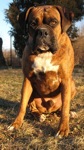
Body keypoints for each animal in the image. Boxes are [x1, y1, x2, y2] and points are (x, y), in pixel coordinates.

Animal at [8, 5, 76, 137]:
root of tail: (48, 110)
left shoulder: (66, 80)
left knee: (62, 108)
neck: (45, 53)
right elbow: (22, 106)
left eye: (54, 22)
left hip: (72, 84)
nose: (42, 31)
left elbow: (65, 107)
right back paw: (39, 116)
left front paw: (63, 129)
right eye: (33, 23)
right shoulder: (27, 80)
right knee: (32, 108)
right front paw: (15, 124)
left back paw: (69, 113)